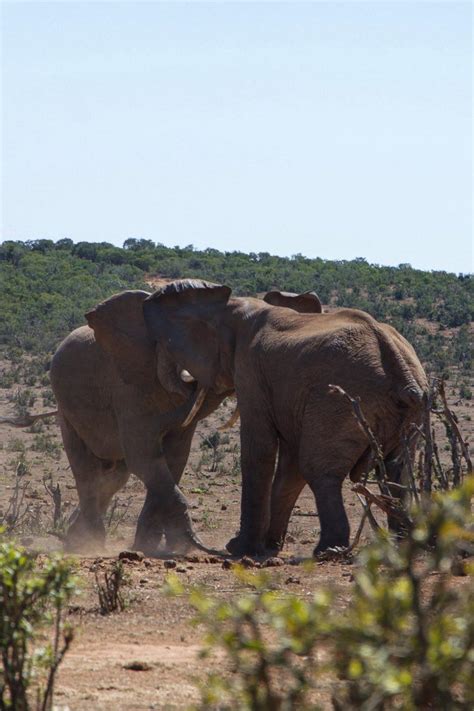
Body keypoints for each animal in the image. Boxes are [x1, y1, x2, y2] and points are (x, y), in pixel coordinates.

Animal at [47, 286, 322, 552]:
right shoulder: (127, 385)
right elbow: (144, 457)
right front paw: (175, 544)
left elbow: (174, 458)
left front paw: (160, 546)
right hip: (65, 407)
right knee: (86, 469)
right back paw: (85, 543)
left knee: (114, 476)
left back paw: (75, 536)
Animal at [143, 280, 428, 560]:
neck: (237, 306)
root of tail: (399, 366)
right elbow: (290, 466)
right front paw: (269, 546)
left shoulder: (251, 371)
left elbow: (260, 451)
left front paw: (241, 549)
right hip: (408, 412)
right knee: (397, 471)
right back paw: (402, 546)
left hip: (338, 401)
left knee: (320, 470)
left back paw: (328, 551)